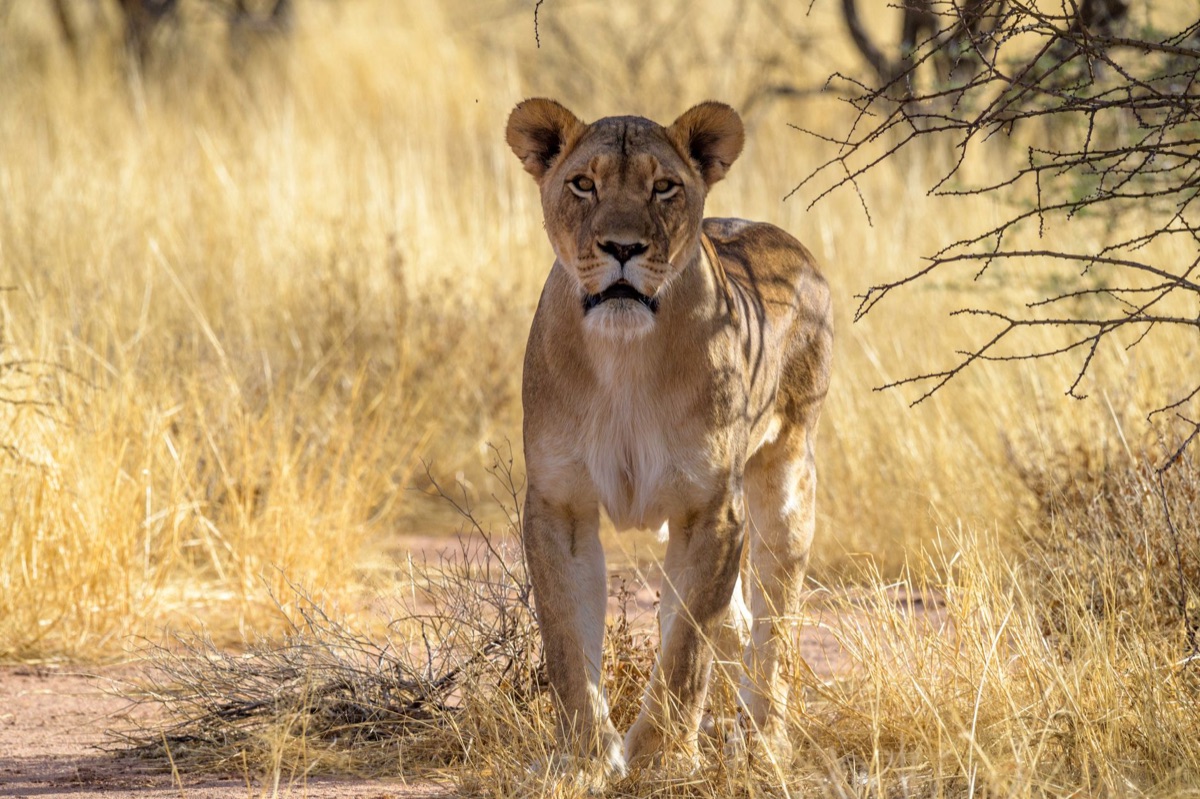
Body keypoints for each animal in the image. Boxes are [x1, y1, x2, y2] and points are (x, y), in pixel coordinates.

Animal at [506, 98, 833, 776]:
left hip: (788, 478)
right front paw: (587, 755)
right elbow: (567, 640)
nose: (622, 247)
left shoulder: (712, 509)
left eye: (664, 187)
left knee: (773, 622)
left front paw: (661, 757)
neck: (624, 356)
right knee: (732, 619)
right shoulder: (559, 504)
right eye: (584, 184)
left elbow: (687, 646)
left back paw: (766, 742)